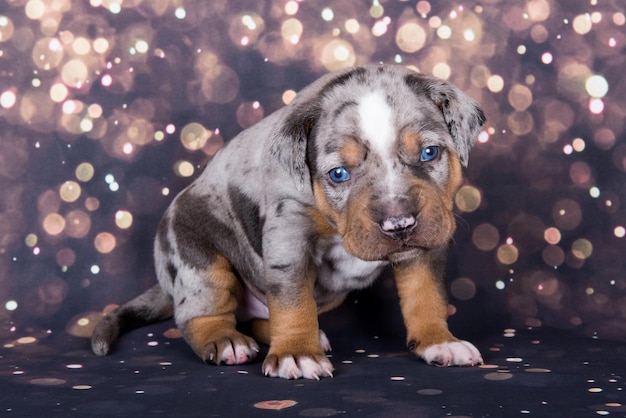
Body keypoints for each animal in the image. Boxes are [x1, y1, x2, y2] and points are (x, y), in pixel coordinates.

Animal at [90, 64, 486, 378]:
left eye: (430, 153)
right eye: (338, 174)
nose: (398, 224)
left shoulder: (427, 241)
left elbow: (426, 292)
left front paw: (439, 342)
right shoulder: (289, 233)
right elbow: (293, 298)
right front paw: (297, 353)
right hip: (196, 256)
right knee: (200, 314)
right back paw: (226, 341)